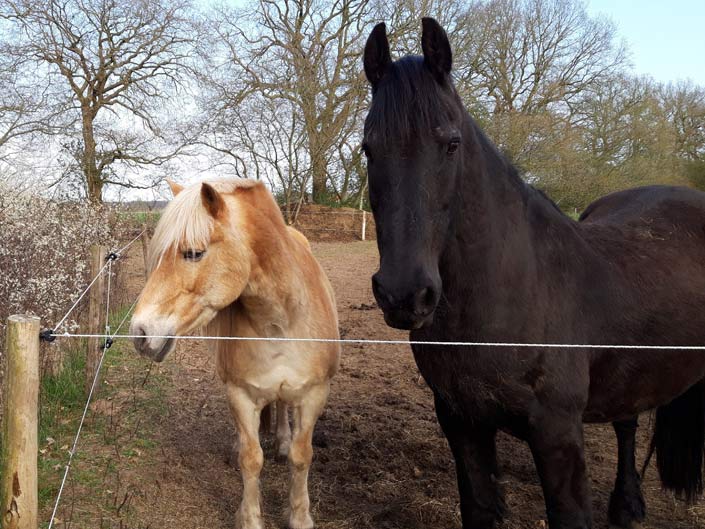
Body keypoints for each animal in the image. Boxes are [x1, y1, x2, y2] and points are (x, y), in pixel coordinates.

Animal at [130, 178, 340, 529]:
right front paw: (250, 518)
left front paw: (299, 516)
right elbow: (251, 458)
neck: (282, 320)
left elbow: (301, 456)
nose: (140, 333)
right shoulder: (241, 393)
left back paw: (282, 441)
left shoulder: (314, 393)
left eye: (193, 253)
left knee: (281, 407)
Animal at [363, 18, 705, 529]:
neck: (508, 293)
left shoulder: (557, 434)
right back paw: (627, 505)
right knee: (627, 421)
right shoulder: (462, 422)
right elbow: (480, 509)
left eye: (451, 144)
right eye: (368, 148)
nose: (404, 295)